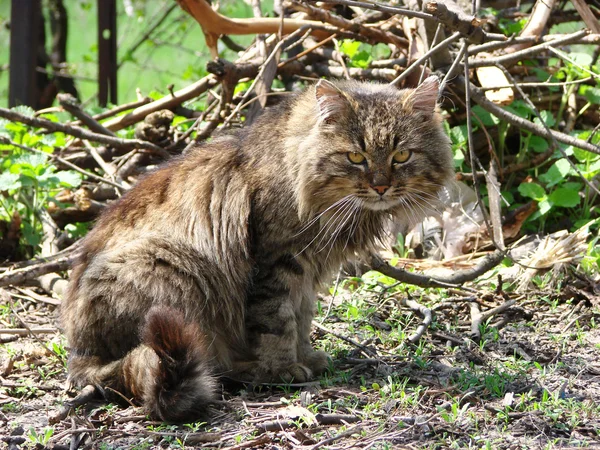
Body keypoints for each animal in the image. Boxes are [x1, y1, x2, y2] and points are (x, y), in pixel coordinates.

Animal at [62, 75, 454, 424]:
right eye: (356, 157)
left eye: (402, 155)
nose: (381, 186)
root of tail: (83, 357)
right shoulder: (277, 260)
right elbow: (277, 321)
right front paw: (283, 367)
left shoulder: (306, 273)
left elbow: (302, 317)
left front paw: (306, 356)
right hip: (175, 269)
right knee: (204, 365)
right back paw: (250, 370)